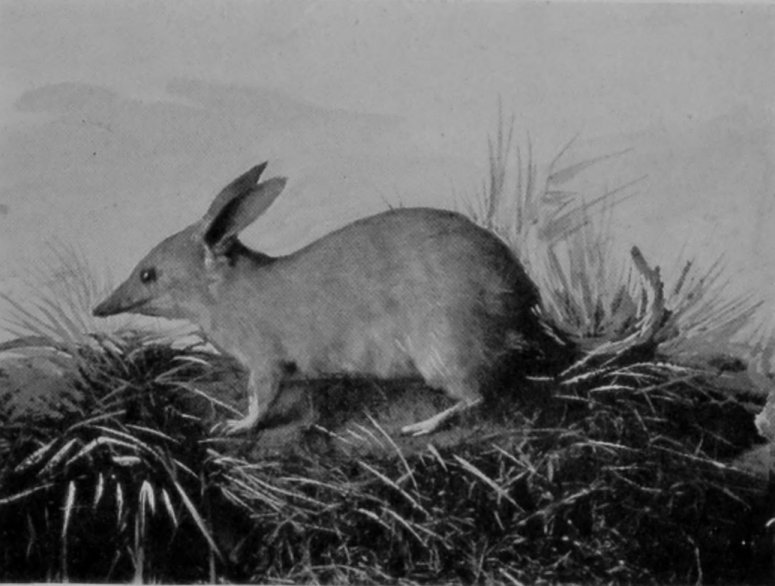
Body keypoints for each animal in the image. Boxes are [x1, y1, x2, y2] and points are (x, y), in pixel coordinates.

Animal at [93, 162, 558, 436]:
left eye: (147, 273)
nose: (99, 309)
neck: (230, 291)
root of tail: (524, 294)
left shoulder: (265, 360)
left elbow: (259, 400)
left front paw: (236, 425)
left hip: (442, 352)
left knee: (475, 397)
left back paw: (421, 426)